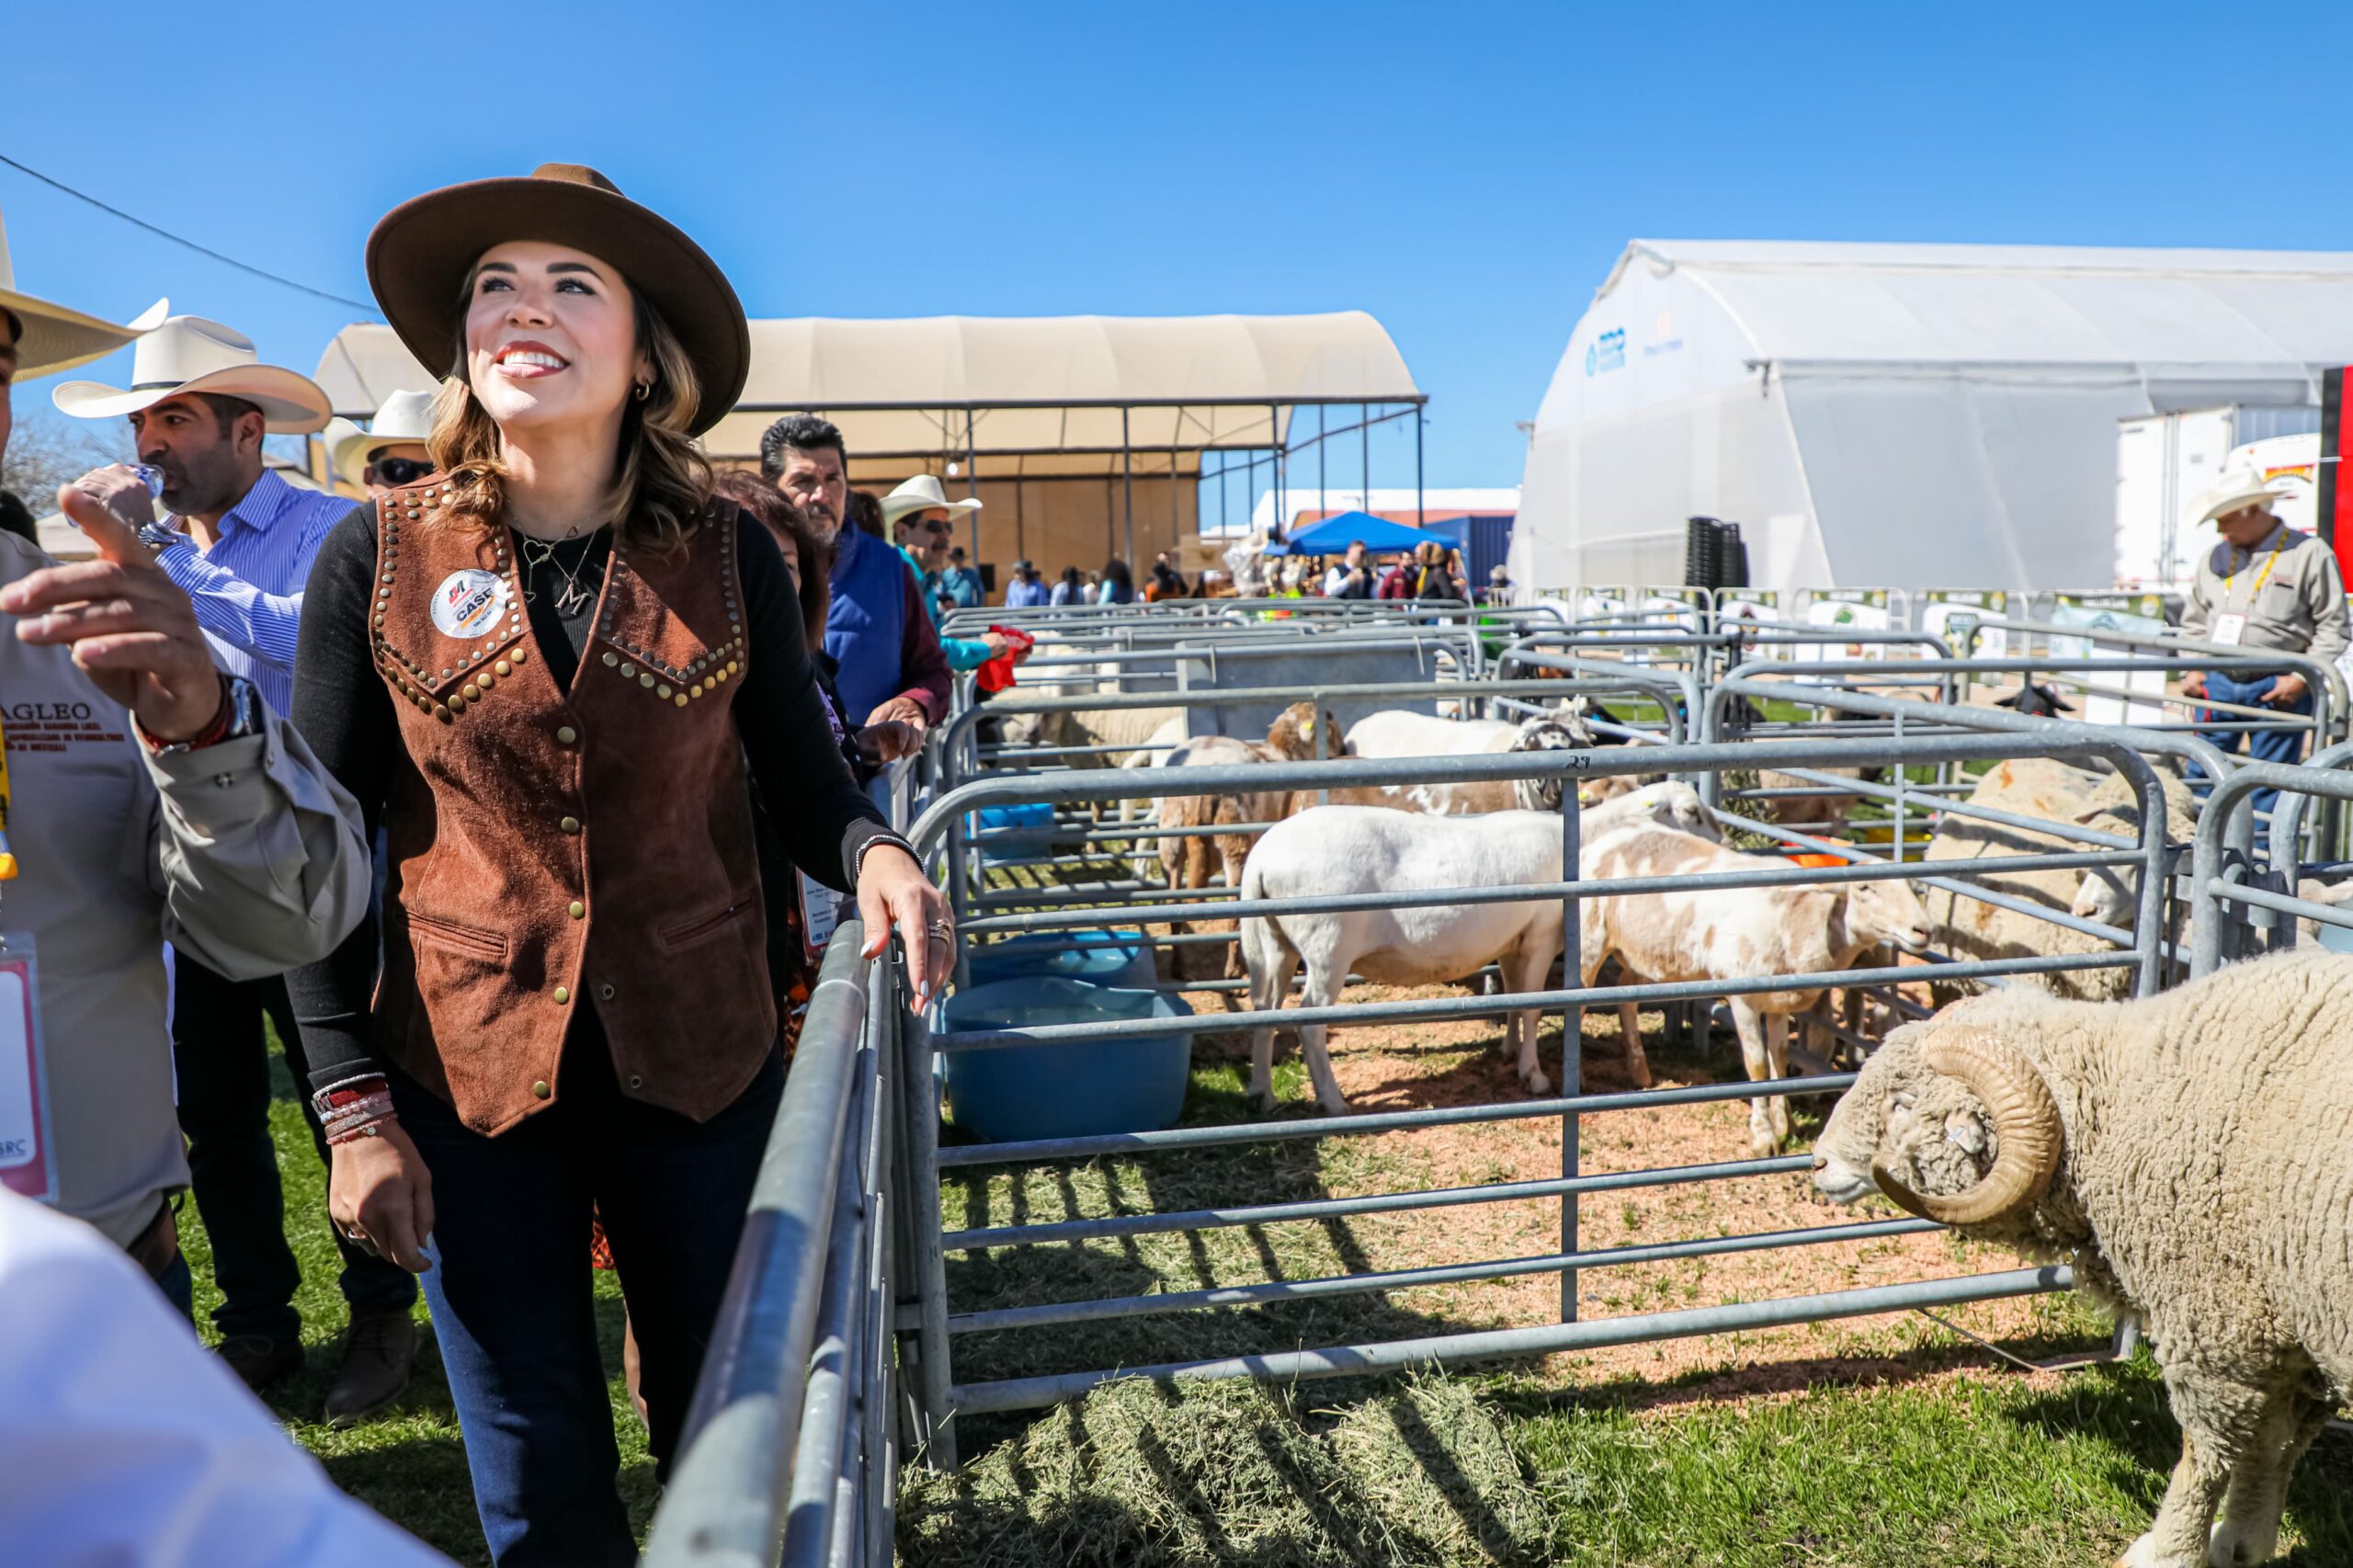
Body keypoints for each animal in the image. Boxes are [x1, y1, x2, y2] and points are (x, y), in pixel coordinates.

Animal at [1233, 781, 1712, 1111]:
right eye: (1692, 812)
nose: (1721, 846)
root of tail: (1262, 857)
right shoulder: (1542, 934)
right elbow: (1534, 1006)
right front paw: (1535, 1076)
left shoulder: (1514, 940)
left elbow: (1516, 999)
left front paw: (1511, 1052)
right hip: (1328, 946)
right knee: (1309, 1021)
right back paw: (1333, 1102)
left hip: (1275, 941)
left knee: (1265, 1007)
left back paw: (1262, 1093)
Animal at [1581, 824, 1929, 1153]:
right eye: (1865, 887)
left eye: (1910, 889)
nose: (1923, 929)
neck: (1798, 922)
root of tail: (1605, 839)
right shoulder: (1744, 1000)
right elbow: (1758, 1063)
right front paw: (1764, 1137)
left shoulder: (1779, 1001)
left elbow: (1780, 1056)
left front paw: (1785, 1122)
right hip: (1591, 943)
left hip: (1640, 953)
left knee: (1626, 997)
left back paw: (1639, 1071)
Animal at [1816, 946, 2353, 1553]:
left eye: (1902, 1104)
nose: (1817, 1161)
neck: (2122, 1108)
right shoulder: (2296, 1329)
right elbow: (2274, 1450)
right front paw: (2238, 1543)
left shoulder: (2218, 1322)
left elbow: (2206, 1455)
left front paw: (2166, 1550)